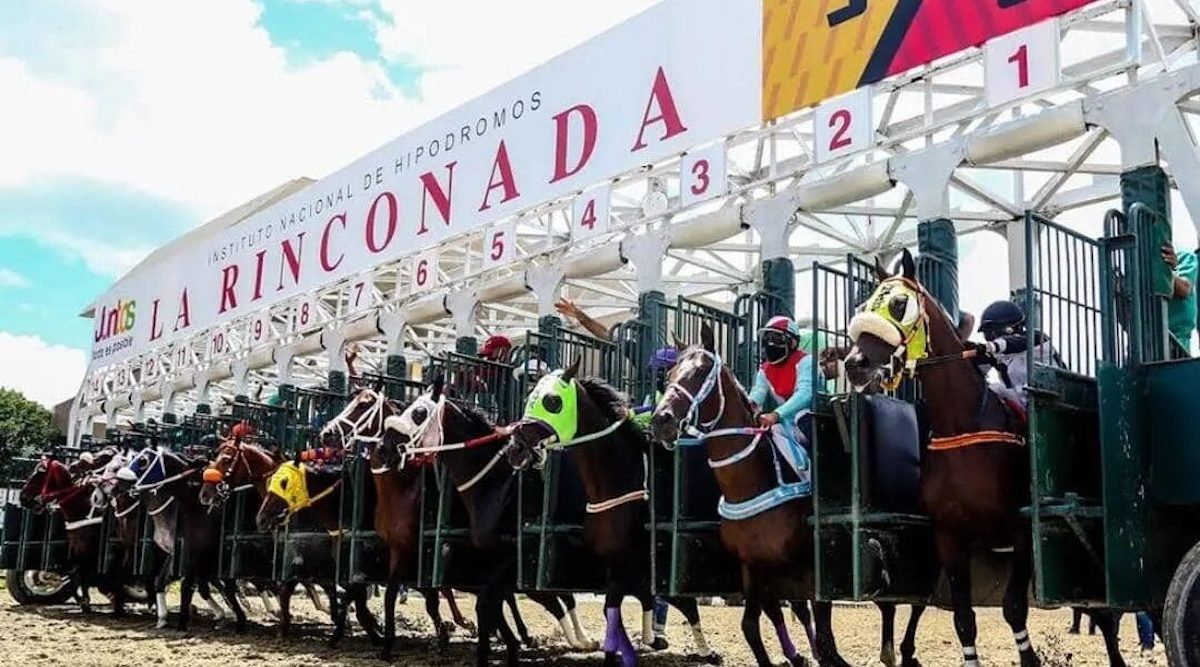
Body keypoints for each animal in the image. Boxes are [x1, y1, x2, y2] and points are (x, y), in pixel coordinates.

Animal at [118, 446, 247, 633]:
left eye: (143, 461)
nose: (120, 481)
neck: (196, 504)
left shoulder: (203, 550)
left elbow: (192, 583)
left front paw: (183, 622)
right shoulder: (182, 550)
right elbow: (162, 580)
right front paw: (163, 618)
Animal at [374, 381, 600, 667]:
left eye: (419, 413)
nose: (383, 448)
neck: (497, 484)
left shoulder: (514, 557)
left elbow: (490, 604)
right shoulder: (487, 560)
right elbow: (490, 604)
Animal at [506, 362, 720, 667]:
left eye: (552, 401)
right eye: (529, 399)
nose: (515, 449)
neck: (615, 484)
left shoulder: (633, 561)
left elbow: (649, 602)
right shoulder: (614, 562)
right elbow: (620, 606)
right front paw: (643, 642)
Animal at [840, 249, 1128, 667]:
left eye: (898, 304)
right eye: (863, 308)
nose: (854, 363)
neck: (962, 425)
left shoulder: (1021, 532)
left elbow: (1013, 608)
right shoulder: (950, 536)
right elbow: (963, 618)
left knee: (1105, 614)